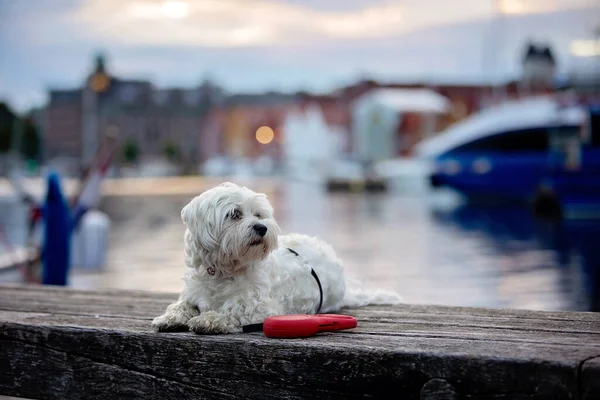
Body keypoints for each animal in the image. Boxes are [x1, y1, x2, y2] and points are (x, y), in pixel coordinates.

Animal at [152, 182, 400, 334]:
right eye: (235, 214)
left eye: (259, 214)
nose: (261, 228)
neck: (224, 269)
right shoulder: (193, 293)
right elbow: (181, 305)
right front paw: (169, 318)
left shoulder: (262, 307)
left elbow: (233, 309)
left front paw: (208, 319)